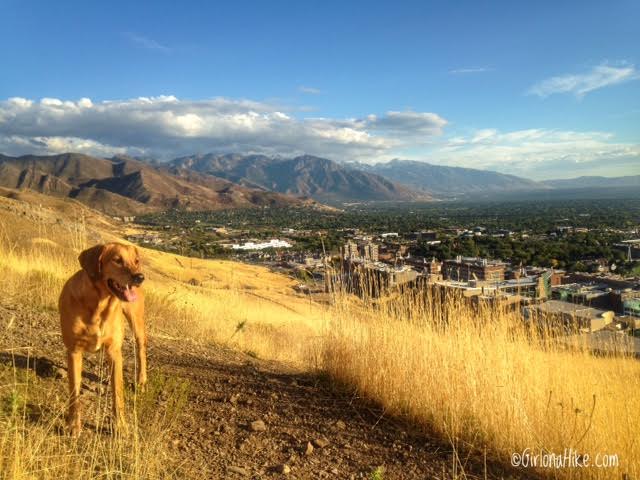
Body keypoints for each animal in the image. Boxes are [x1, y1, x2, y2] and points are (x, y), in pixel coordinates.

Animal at [58, 244, 146, 436]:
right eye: (117, 260)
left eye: (136, 261)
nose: (139, 277)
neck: (99, 305)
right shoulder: (74, 351)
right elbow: (74, 391)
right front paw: (73, 425)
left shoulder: (114, 352)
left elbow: (118, 392)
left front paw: (120, 426)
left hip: (136, 322)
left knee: (141, 349)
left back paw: (142, 380)